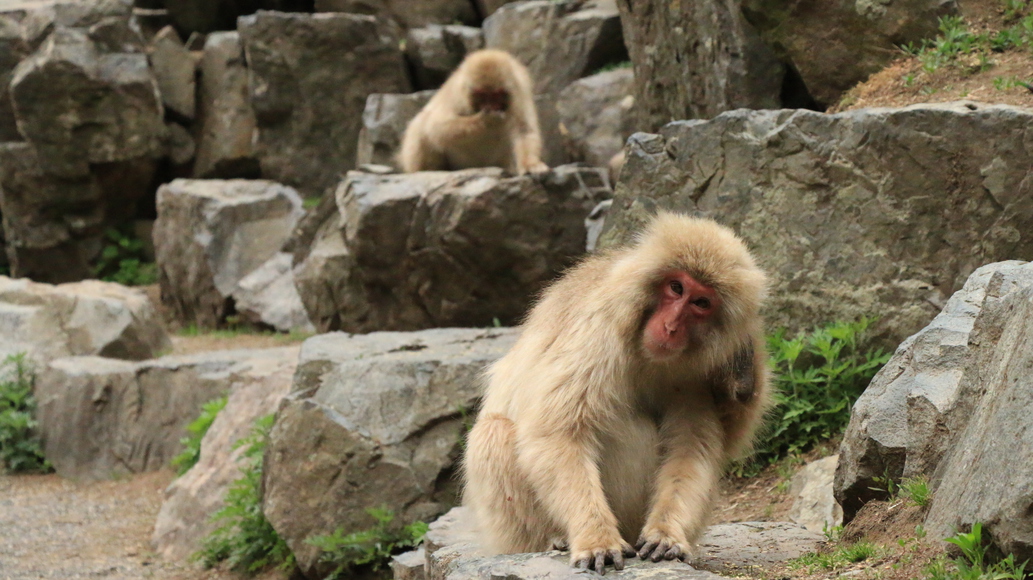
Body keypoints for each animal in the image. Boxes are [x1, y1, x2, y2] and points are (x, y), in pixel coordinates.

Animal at [398, 48, 553, 173]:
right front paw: (486, 121)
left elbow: (524, 129)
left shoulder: (520, 91)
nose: (490, 107)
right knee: (422, 123)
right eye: (483, 96)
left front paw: (530, 164)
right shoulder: (457, 94)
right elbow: (435, 127)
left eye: (496, 95)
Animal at [464, 214, 772, 574]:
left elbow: (692, 446)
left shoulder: (698, 374)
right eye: (676, 288)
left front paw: (667, 533)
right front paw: (595, 538)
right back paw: (555, 539)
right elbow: (558, 433)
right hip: (509, 535)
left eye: (701, 303)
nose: (670, 327)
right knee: (494, 432)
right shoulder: (598, 332)